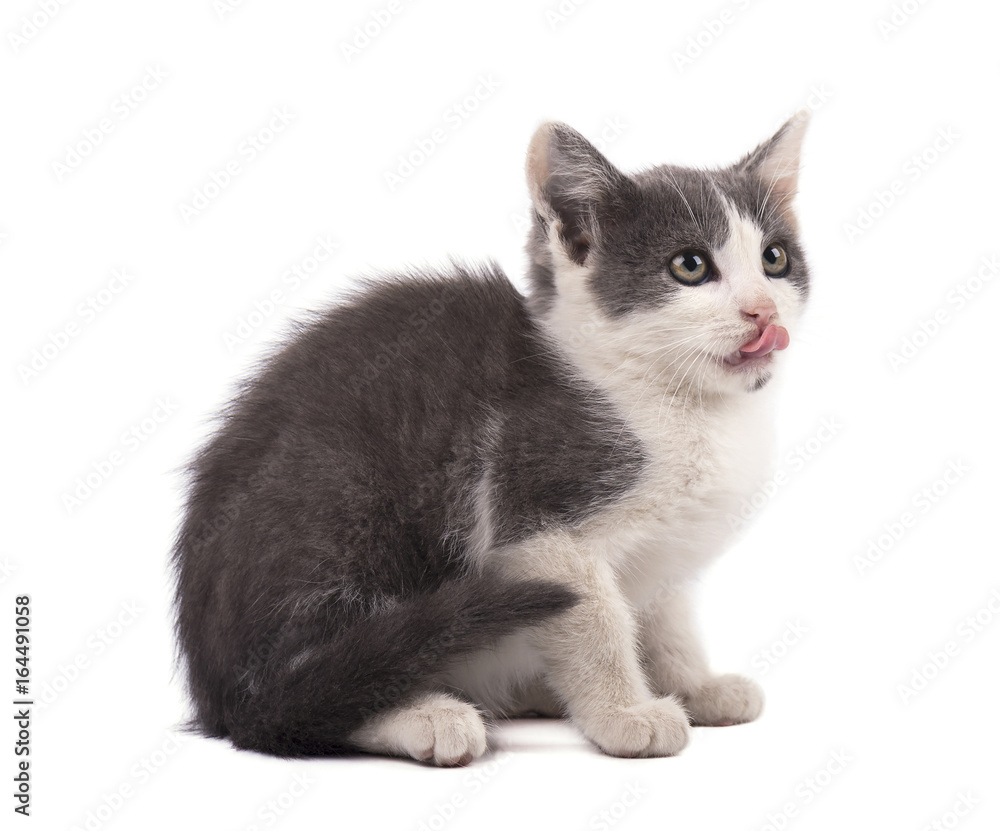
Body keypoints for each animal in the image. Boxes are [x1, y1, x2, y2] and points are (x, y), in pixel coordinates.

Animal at [174, 112, 812, 768]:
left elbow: (666, 620)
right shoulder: (539, 516)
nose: (763, 311)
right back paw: (428, 714)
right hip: (337, 503)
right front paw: (624, 714)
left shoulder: (667, 552)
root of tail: (212, 690)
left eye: (775, 258)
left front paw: (695, 685)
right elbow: (598, 622)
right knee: (304, 699)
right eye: (689, 266)